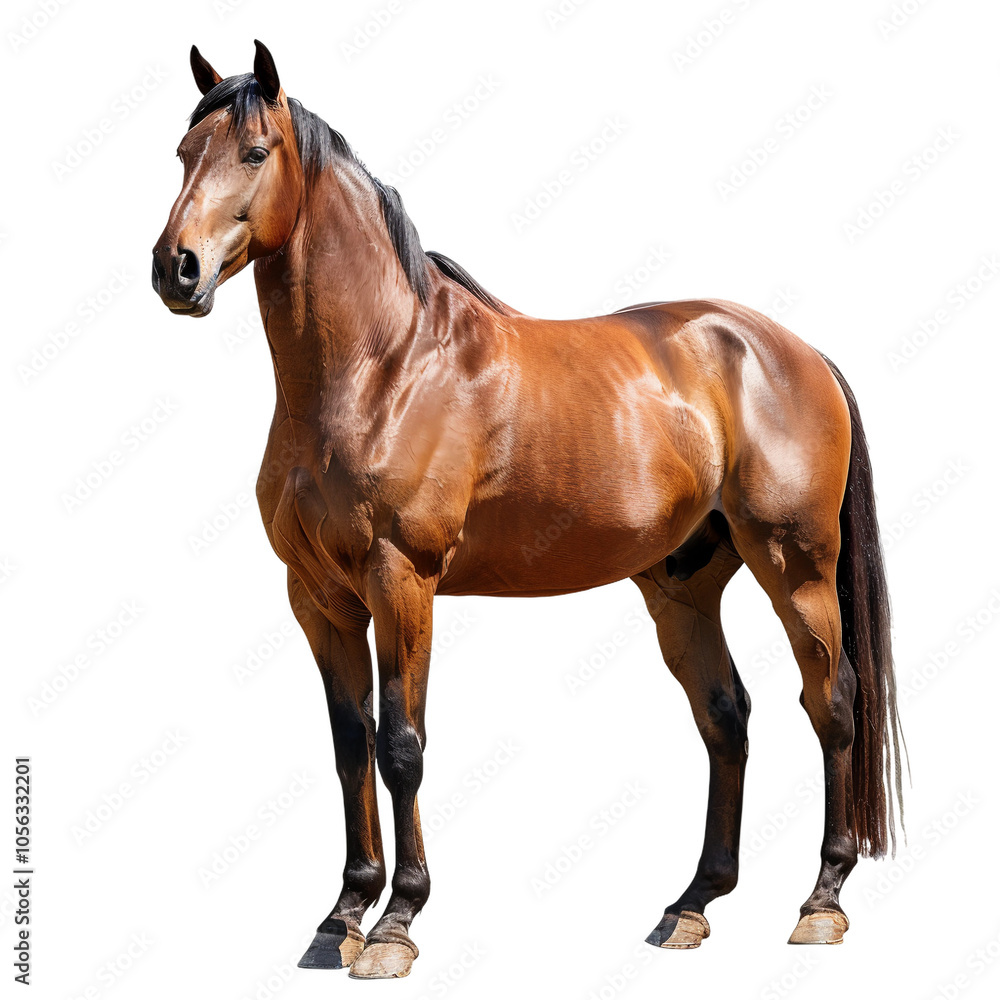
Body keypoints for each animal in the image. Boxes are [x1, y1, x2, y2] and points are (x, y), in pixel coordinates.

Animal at [151, 41, 905, 979]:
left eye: (254, 153)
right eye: (184, 154)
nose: (175, 269)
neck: (381, 367)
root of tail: (794, 352)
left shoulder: (402, 584)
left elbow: (402, 746)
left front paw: (396, 924)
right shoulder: (318, 599)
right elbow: (348, 745)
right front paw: (341, 917)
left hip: (795, 568)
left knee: (831, 703)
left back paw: (820, 902)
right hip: (682, 588)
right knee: (726, 717)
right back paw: (691, 904)